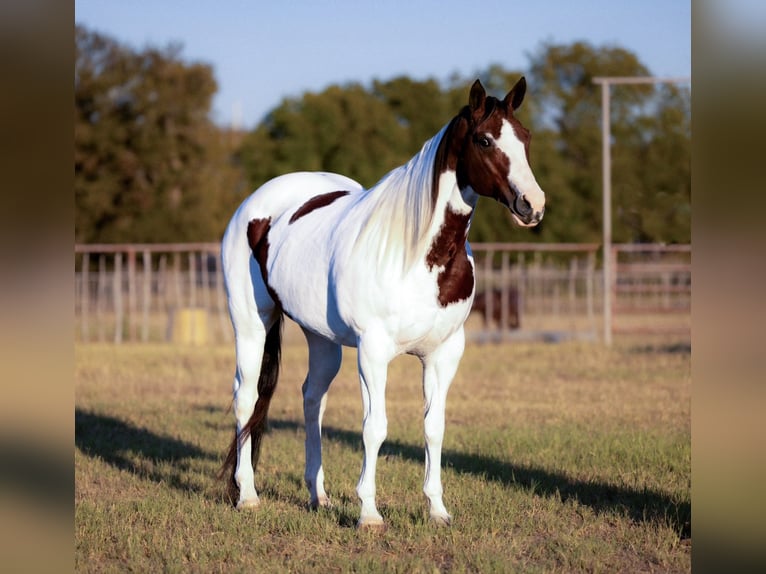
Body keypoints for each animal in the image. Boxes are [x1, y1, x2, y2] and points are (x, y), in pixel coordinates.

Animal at [219, 77, 548, 532]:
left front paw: (437, 510)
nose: (533, 205)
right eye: (484, 140)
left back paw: (317, 495)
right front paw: (369, 513)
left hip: (322, 339)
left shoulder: (444, 354)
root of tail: (257, 205)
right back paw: (248, 495)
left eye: (526, 138)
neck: (422, 254)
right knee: (247, 399)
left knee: (312, 399)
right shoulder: (373, 353)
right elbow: (375, 428)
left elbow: (433, 427)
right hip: (251, 323)